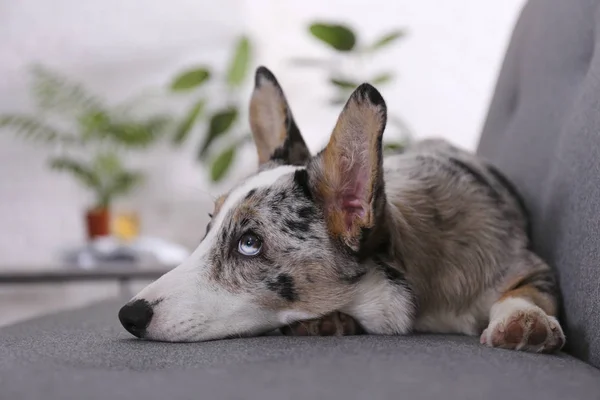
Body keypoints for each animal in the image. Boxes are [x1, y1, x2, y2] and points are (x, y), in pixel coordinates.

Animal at [119, 66, 564, 354]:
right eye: (207, 228)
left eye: (249, 243)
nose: (127, 315)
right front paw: (327, 322)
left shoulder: (531, 268)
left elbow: (526, 292)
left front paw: (524, 324)